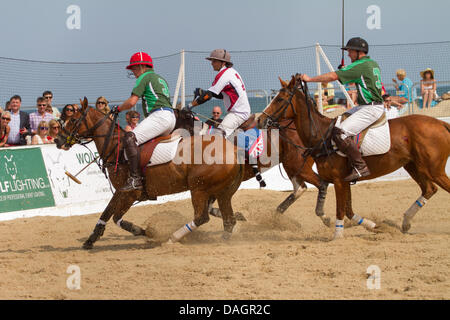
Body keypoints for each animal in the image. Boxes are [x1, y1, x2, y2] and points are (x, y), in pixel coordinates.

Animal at [57, 98, 246, 250]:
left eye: (73, 119)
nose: (58, 140)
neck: (116, 149)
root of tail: (234, 150)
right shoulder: (120, 190)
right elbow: (105, 213)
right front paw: (90, 240)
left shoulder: (131, 193)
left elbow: (116, 218)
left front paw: (143, 231)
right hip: (223, 192)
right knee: (228, 220)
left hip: (199, 188)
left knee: (202, 217)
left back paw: (172, 238)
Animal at [174, 109, 328, 224]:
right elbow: (210, 208)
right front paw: (238, 216)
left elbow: (209, 207)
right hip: (292, 166)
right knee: (300, 188)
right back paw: (277, 214)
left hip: (298, 165)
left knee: (320, 183)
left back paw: (324, 216)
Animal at [256, 75, 450, 240]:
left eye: (279, 99)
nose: (259, 121)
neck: (321, 136)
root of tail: (441, 123)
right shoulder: (345, 180)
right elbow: (348, 210)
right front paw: (374, 226)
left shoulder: (338, 180)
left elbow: (340, 210)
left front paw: (337, 236)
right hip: (413, 166)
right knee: (429, 189)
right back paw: (405, 222)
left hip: (434, 169)